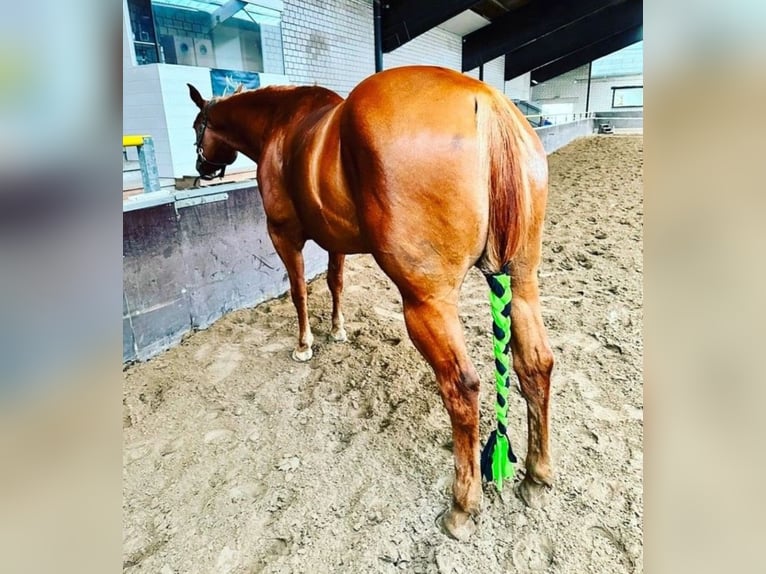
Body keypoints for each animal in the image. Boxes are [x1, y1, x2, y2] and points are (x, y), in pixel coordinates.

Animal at [188, 65, 556, 544]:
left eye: (198, 126)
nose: (201, 167)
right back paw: (536, 477)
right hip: (523, 280)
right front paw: (338, 329)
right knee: (536, 365)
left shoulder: (284, 235)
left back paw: (462, 505)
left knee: (463, 387)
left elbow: (298, 291)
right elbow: (336, 282)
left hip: (427, 302)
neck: (282, 124)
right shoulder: (335, 239)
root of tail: (487, 100)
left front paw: (305, 344)